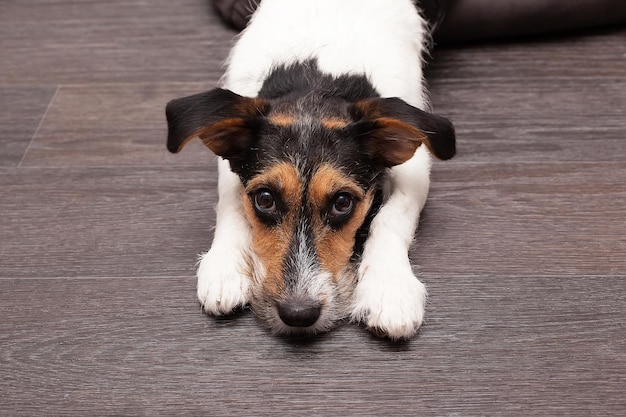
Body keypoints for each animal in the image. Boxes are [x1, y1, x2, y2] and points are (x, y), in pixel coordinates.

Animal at [166, 0, 454, 338]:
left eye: (342, 202)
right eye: (265, 199)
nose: (298, 314)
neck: (319, 78)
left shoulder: (415, 168)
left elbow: (391, 218)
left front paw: (389, 288)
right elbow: (231, 204)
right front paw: (226, 266)